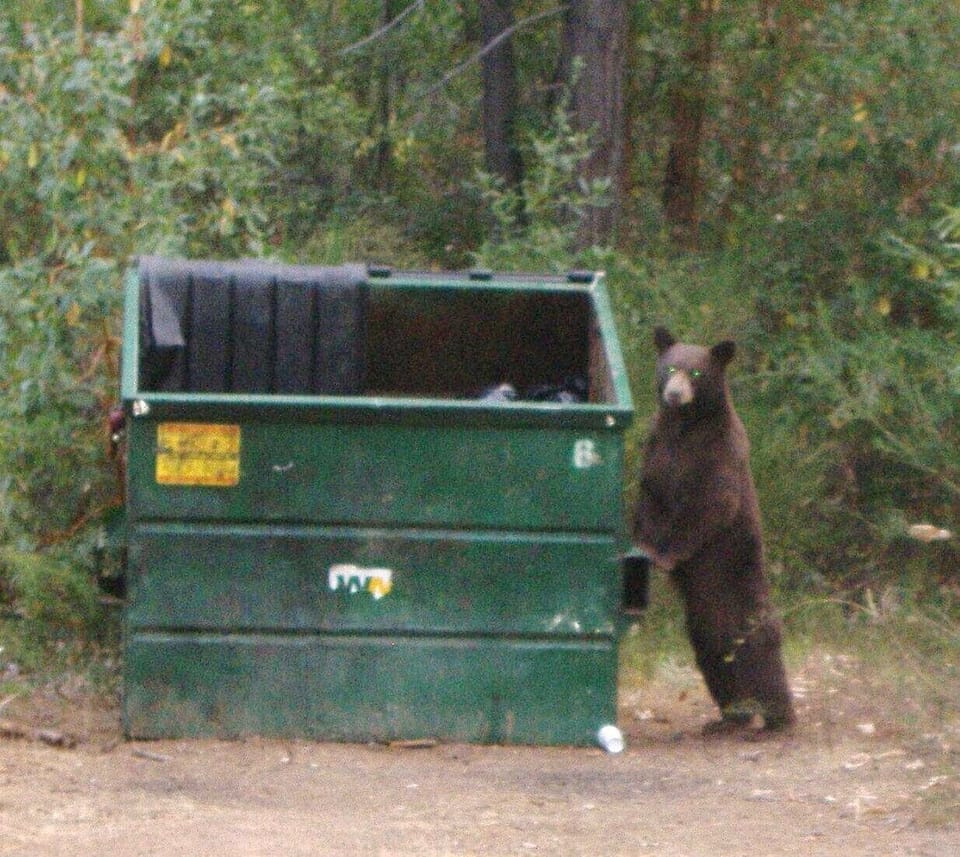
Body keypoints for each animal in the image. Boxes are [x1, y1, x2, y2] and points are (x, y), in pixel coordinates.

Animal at [632, 326, 795, 734]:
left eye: (696, 373)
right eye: (669, 367)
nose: (674, 394)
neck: (684, 428)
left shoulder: (718, 454)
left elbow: (713, 505)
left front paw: (663, 553)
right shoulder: (657, 449)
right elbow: (650, 496)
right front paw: (641, 541)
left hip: (742, 592)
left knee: (760, 651)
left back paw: (777, 718)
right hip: (703, 620)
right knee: (715, 658)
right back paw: (729, 718)